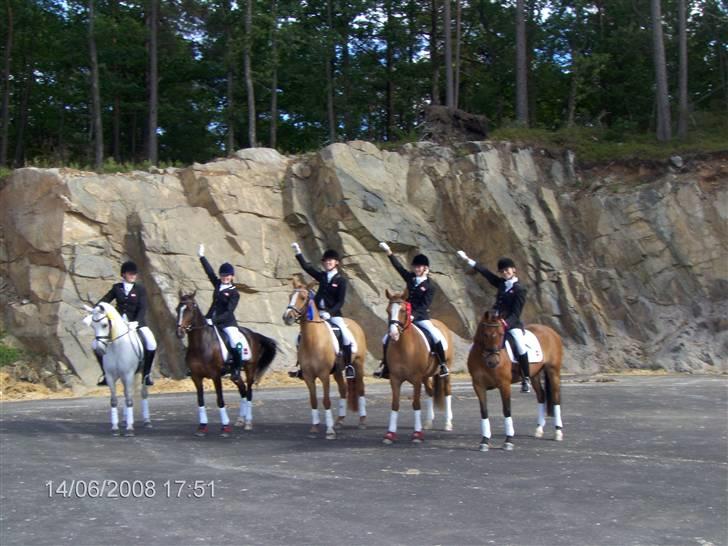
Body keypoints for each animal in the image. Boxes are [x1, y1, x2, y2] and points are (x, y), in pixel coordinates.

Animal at [83, 300, 150, 436]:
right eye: (93, 326)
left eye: (104, 325)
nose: (99, 349)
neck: (117, 345)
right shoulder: (110, 376)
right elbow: (114, 400)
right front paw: (115, 427)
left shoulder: (128, 375)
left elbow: (129, 399)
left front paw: (130, 428)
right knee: (125, 393)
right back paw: (124, 420)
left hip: (143, 374)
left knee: (143, 392)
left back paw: (146, 421)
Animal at [176, 292, 278, 436]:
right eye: (177, 309)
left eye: (190, 309)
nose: (179, 333)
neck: (201, 345)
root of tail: (253, 334)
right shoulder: (196, 377)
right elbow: (200, 401)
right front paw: (202, 426)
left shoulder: (215, 376)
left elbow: (220, 400)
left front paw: (225, 427)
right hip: (235, 374)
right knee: (243, 390)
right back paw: (240, 420)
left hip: (250, 368)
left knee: (249, 392)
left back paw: (248, 422)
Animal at [282, 276, 366, 438]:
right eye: (290, 296)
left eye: (302, 298)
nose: (287, 317)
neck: (313, 340)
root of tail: (355, 324)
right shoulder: (308, 376)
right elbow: (313, 401)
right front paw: (315, 427)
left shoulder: (324, 375)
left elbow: (326, 401)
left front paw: (329, 430)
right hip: (338, 371)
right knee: (343, 390)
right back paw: (339, 421)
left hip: (358, 365)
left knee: (361, 390)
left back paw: (362, 421)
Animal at [382, 288, 456, 442]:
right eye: (388, 310)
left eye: (403, 310)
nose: (393, 334)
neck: (403, 347)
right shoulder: (395, 379)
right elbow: (395, 404)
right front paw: (390, 434)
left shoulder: (416, 379)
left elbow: (416, 404)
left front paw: (417, 434)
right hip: (426, 376)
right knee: (430, 391)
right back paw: (427, 422)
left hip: (445, 371)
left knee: (447, 391)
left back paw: (447, 423)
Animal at [470, 308, 564, 448]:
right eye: (485, 334)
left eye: (501, 334)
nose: (493, 362)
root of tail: (551, 331)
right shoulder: (478, 385)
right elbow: (484, 411)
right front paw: (485, 441)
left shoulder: (504, 385)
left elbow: (507, 410)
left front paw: (508, 440)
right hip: (534, 375)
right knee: (541, 396)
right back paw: (539, 429)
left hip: (553, 372)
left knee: (556, 398)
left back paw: (558, 432)